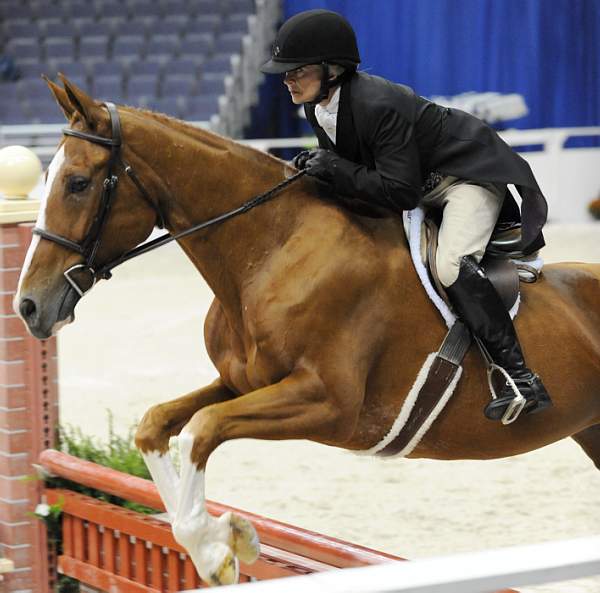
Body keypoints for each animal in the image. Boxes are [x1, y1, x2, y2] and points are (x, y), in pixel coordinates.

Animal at [12, 77, 600, 584]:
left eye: (77, 183)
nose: (29, 306)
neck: (272, 249)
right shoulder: (242, 383)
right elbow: (157, 424)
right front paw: (226, 539)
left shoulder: (328, 404)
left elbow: (202, 428)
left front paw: (220, 548)